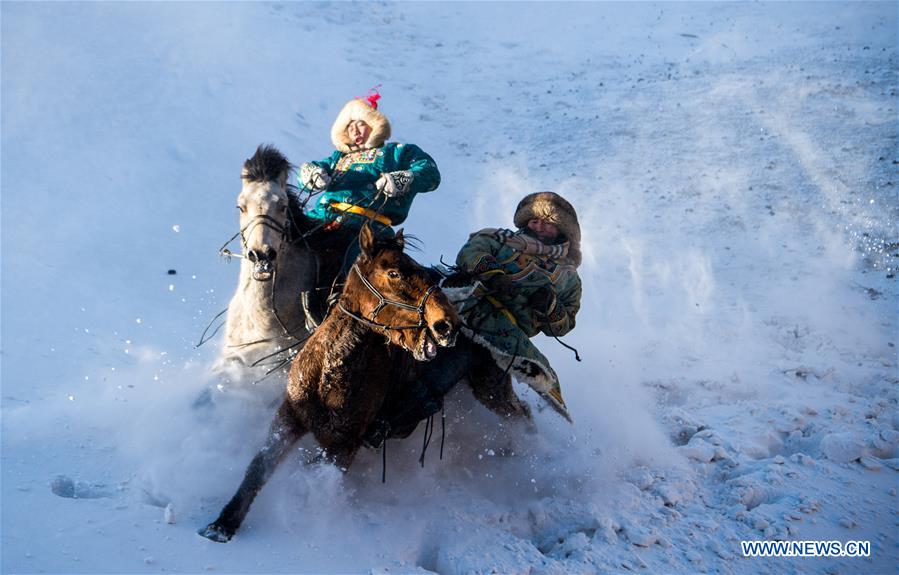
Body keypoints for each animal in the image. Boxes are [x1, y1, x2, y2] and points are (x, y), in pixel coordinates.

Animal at [200, 223, 460, 544]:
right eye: (394, 273)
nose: (447, 324)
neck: (329, 374)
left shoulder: (345, 445)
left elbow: (312, 474)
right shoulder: (289, 416)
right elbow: (259, 466)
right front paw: (222, 524)